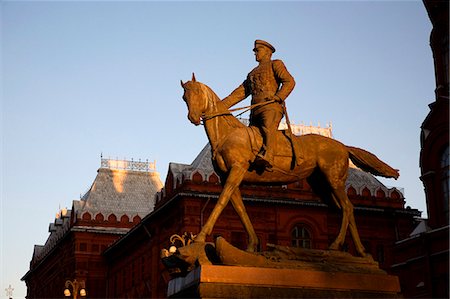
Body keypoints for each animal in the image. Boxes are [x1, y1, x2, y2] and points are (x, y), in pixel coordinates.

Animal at [181, 74, 400, 258]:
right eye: (184, 97)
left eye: (197, 93)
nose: (192, 118)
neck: (228, 134)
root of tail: (343, 146)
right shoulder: (230, 177)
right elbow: (240, 209)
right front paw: (252, 244)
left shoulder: (236, 172)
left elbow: (221, 202)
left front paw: (199, 238)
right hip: (322, 185)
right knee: (346, 209)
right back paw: (361, 252)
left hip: (333, 180)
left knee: (347, 207)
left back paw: (337, 246)